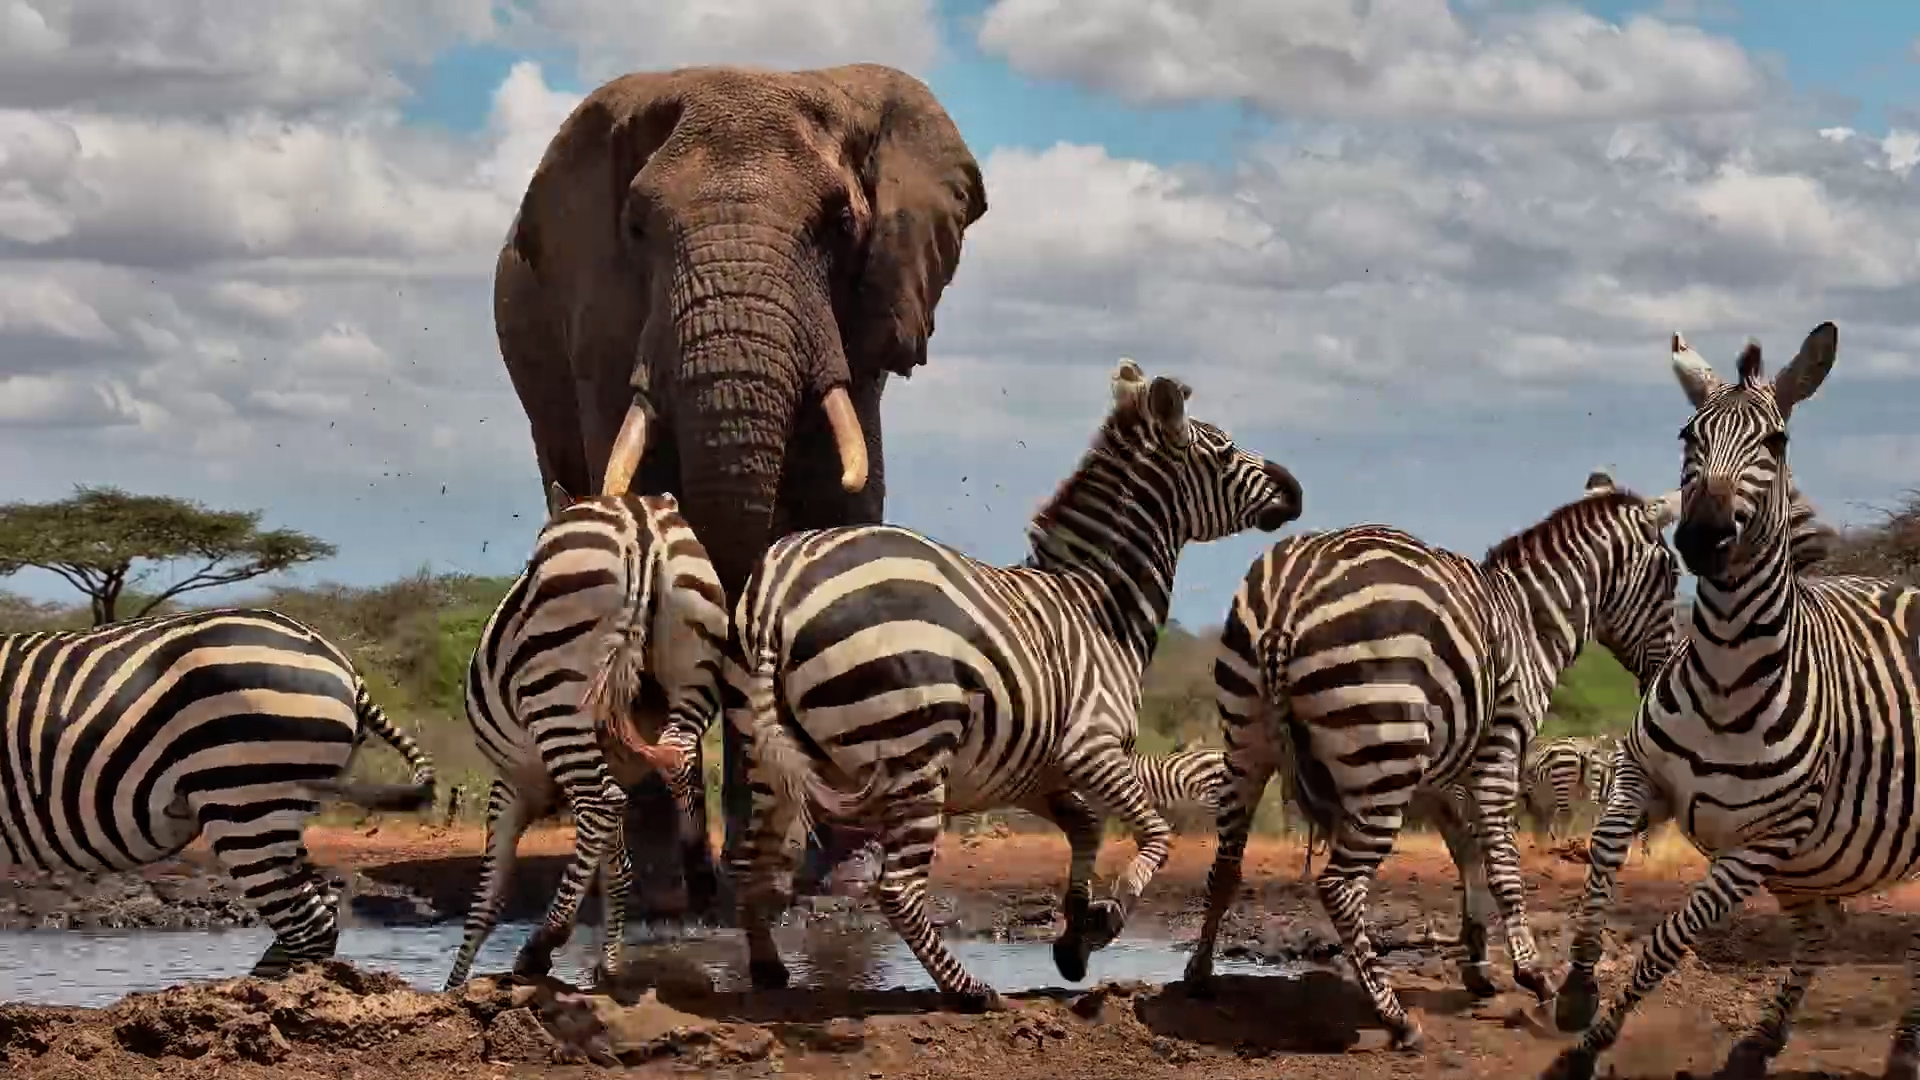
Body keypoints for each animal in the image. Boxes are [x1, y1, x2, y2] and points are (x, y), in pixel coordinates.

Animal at [494, 62, 988, 918]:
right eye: (636, 230)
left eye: (838, 224)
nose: (706, 879)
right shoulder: (604, 327)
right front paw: (667, 889)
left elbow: (844, 512)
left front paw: (841, 889)